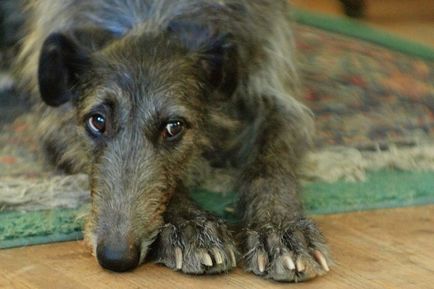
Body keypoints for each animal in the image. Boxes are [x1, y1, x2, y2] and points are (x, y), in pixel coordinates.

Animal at [11, 0, 330, 282]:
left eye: (174, 127)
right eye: (97, 121)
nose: (115, 257)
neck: (150, 16)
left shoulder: (271, 83)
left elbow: (273, 161)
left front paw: (281, 229)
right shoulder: (55, 123)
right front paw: (190, 225)